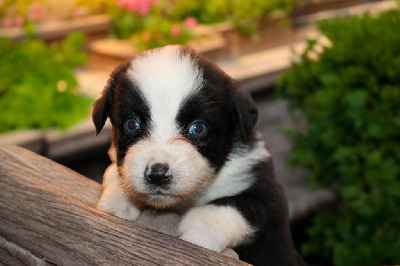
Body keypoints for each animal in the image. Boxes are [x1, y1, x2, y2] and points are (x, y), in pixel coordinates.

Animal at [92, 44, 304, 264]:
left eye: (198, 128)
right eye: (132, 124)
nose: (157, 174)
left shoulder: (268, 197)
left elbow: (236, 205)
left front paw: (198, 231)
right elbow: (112, 170)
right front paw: (119, 198)